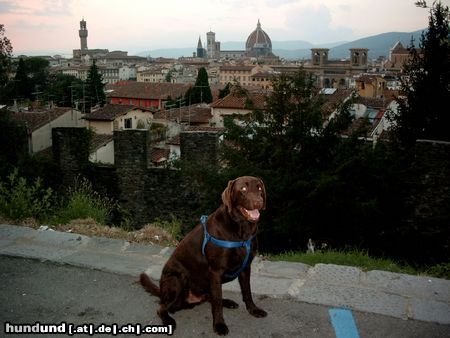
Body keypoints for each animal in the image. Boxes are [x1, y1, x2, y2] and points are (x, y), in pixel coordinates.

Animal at [141, 177, 268, 336]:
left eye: (259, 188)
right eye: (243, 189)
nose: (259, 202)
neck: (241, 231)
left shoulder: (246, 268)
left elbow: (247, 292)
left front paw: (253, 310)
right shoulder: (216, 271)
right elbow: (217, 303)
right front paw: (219, 325)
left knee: (210, 297)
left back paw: (227, 302)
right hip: (177, 279)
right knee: (161, 308)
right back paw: (169, 320)